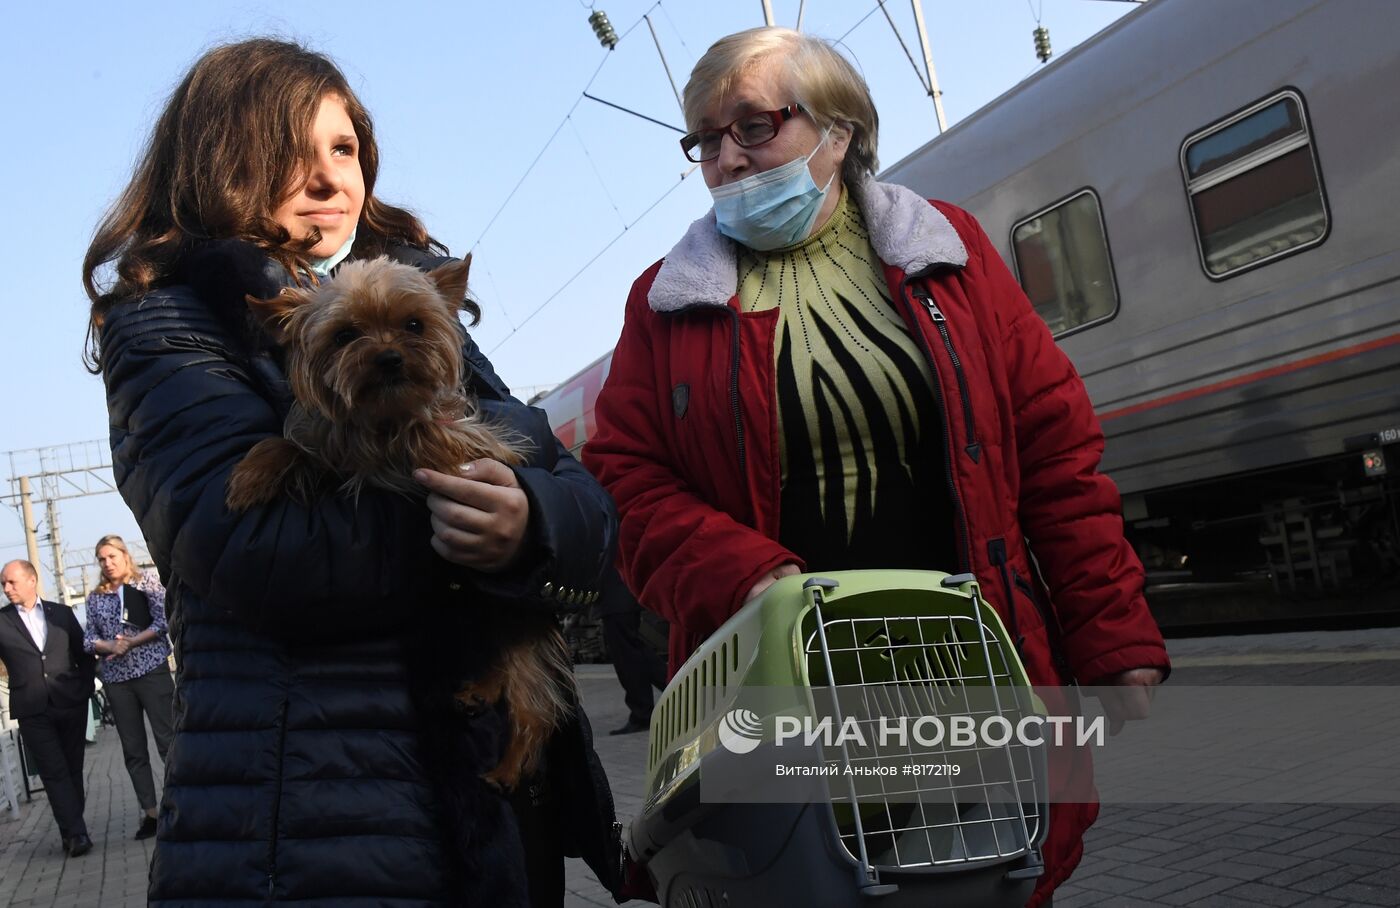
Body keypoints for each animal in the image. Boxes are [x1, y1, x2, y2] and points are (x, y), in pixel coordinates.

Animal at [228, 253, 574, 783]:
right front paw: (252, 473)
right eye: (345, 335)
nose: (389, 358)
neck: (379, 420)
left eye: (414, 325)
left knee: (533, 704)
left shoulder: (467, 444)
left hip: (514, 617)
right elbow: (297, 444)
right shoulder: (334, 444)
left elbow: (421, 431)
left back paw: (508, 768)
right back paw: (479, 692)